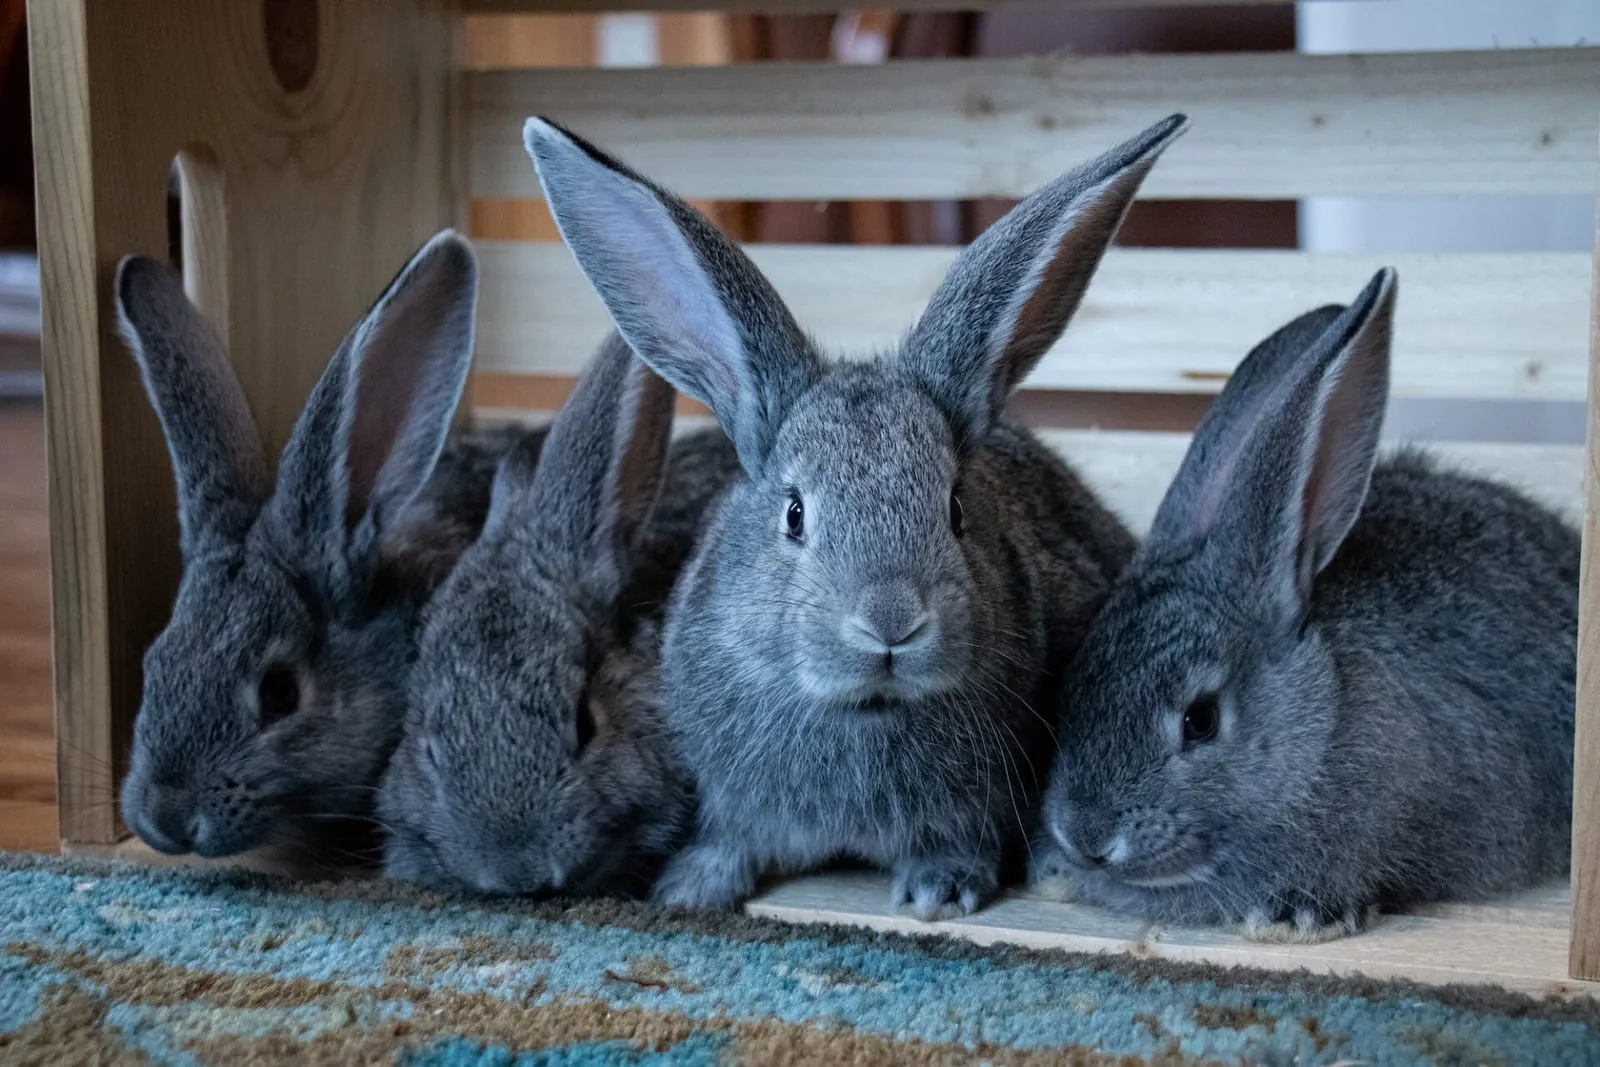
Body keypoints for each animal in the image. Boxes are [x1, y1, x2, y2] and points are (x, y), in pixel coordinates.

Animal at [522, 112, 1190, 919]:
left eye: (955, 507)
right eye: (794, 513)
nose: (891, 621)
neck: (866, 707)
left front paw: (941, 889)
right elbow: (732, 839)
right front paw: (692, 887)